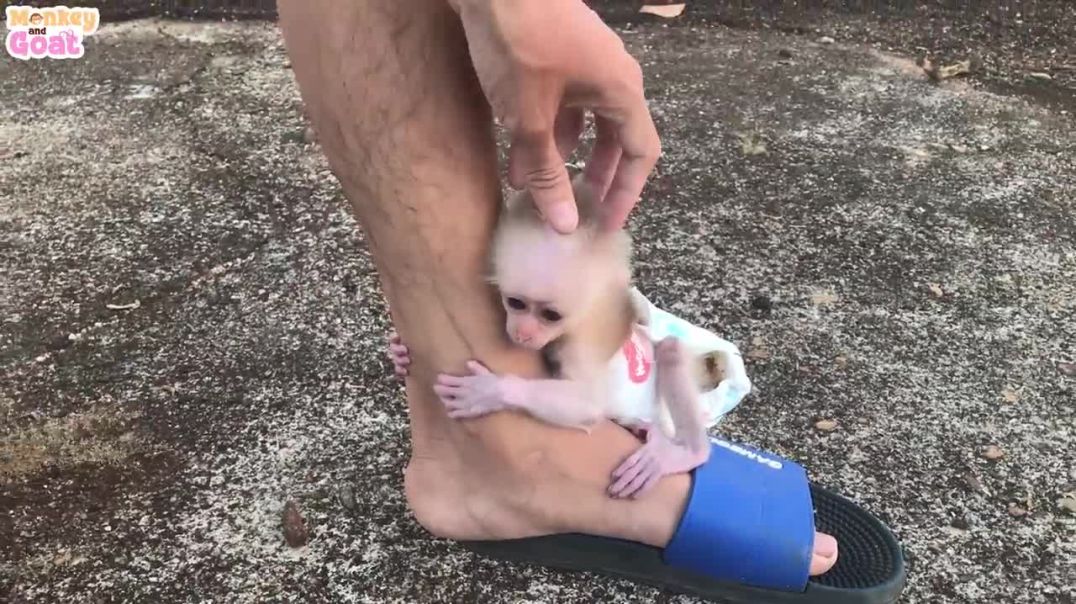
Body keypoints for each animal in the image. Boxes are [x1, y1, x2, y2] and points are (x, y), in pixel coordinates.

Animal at [387, 173, 740, 499]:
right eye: (515, 303)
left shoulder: (581, 343)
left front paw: (494, 390)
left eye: (550, 315)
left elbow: (588, 404)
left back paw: (688, 451)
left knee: (670, 350)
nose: (523, 333)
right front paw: (399, 355)